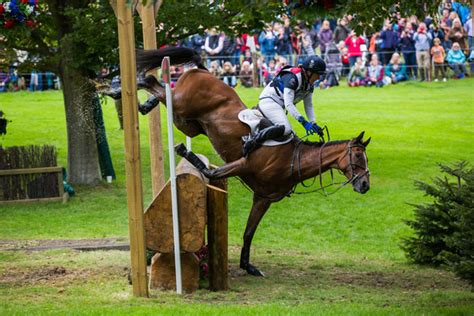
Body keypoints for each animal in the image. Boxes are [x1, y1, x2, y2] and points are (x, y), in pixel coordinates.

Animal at [130, 47, 370, 276]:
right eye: (358, 156)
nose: (365, 185)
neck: (294, 160)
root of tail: (204, 71)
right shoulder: (244, 164)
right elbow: (211, 173)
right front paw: (183, 150)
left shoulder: (263, 198)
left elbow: (249, 232)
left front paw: (248, 266)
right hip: (182, 105)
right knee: (153, 83)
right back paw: (126, 87)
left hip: (188, 123)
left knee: (162, 91)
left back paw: (143, 104)